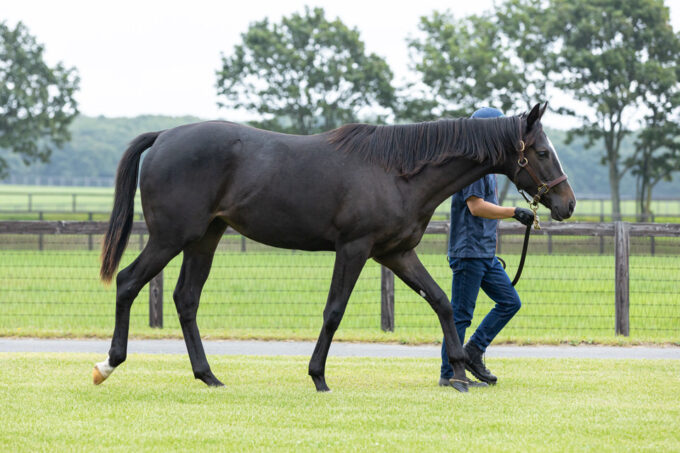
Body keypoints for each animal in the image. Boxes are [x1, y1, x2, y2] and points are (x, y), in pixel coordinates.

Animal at [93, 102, 572, 392]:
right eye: (542, 152)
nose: (566, 204)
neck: (396, 172)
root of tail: (164, 136)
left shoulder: (396, 253)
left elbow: (440, 301)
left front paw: (458, 373)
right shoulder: (354, 249)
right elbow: (334, 311)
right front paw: (318, 376)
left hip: (205, 238)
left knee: (186, 299)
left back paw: (208, 375)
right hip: (171, 237)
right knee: (128, 282)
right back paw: (109, 363)